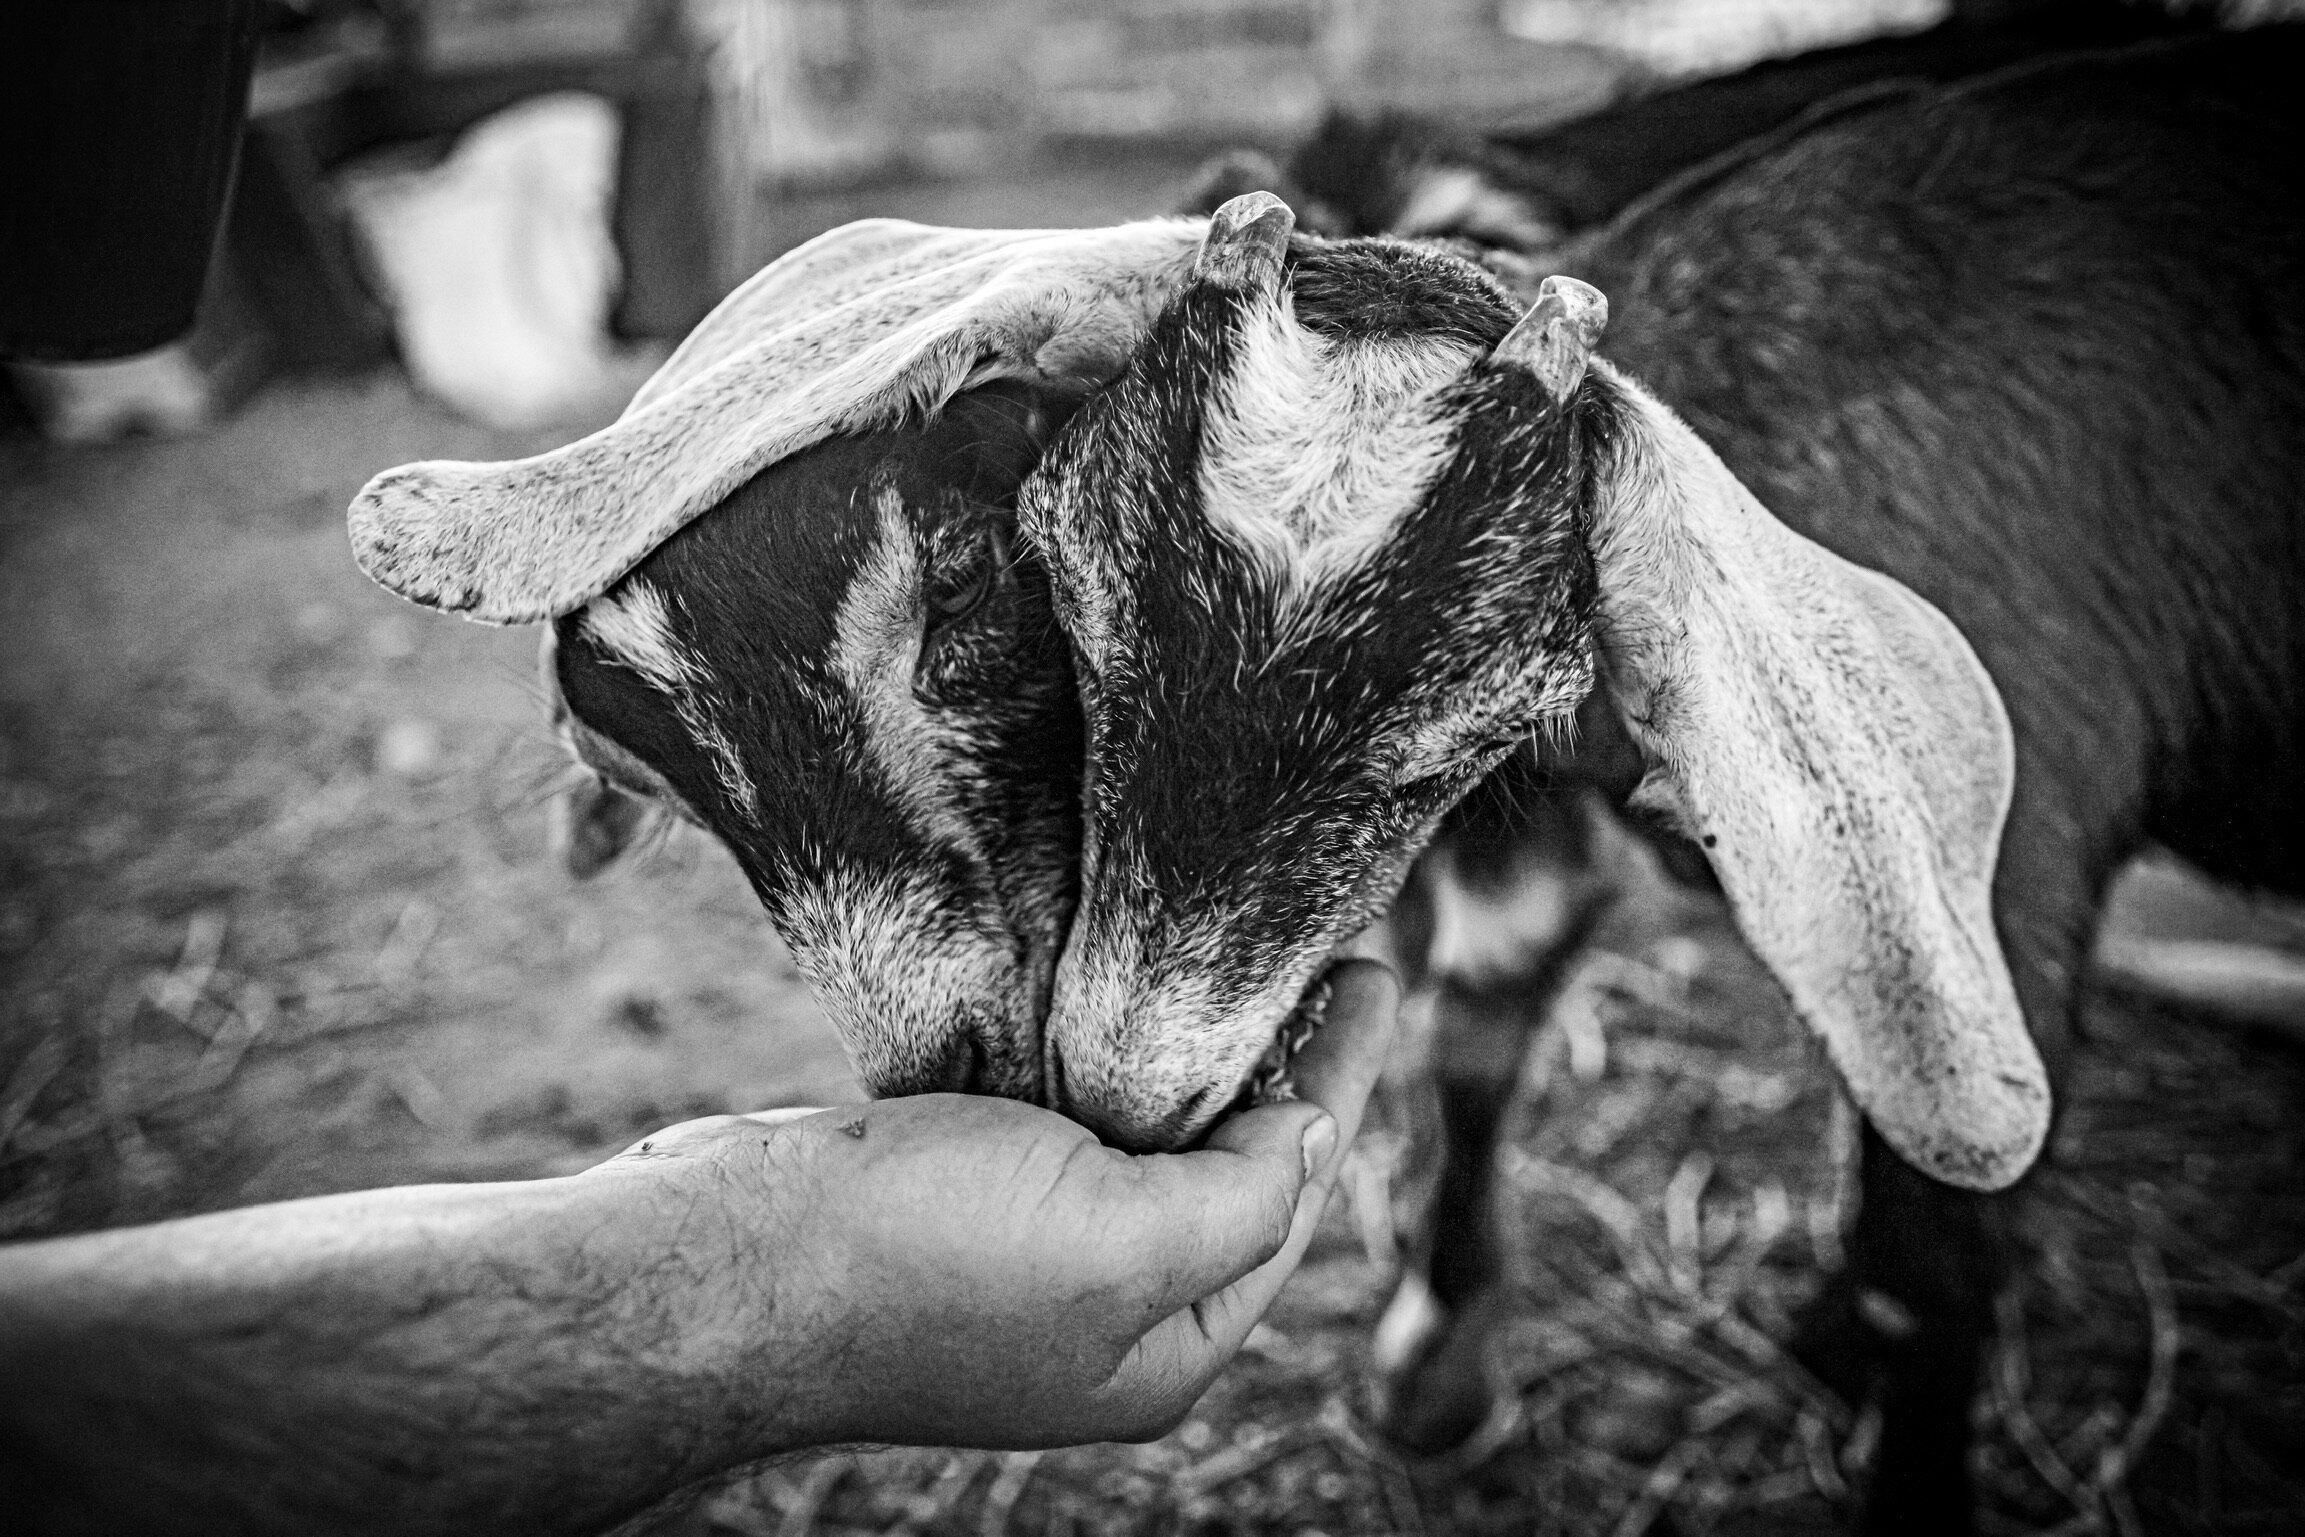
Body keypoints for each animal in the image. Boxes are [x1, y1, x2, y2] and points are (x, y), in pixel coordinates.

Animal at [1018, 30, 2295, 1530]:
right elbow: (1478, 1027)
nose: (1124, 1099)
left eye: (1462, 728)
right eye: (1070, 598)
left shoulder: (1998, 863)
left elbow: (1933, 1256)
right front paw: (1436, 1367)